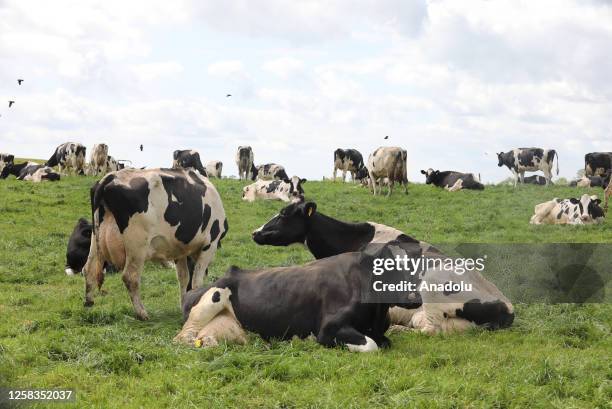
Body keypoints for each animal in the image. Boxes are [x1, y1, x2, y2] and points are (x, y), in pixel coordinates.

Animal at [84, 167, 230, 318]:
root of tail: (111, 176)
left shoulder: (179, 250)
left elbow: (183, 277)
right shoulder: (210, 244)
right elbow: (196, 282)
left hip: (96, 238)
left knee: (89, 269)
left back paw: (89, 303)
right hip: (137, 245)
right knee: (130, 277)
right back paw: (141, 313)